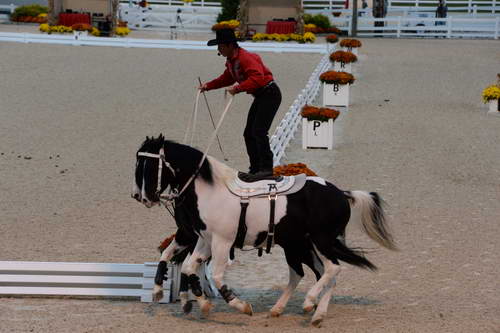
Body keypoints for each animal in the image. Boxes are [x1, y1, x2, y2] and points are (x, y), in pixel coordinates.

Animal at [133, 134, 398, 324]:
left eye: (148, 165)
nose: (140, 196)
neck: (211, 190)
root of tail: (341, 193)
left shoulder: (222, 242)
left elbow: (216, 276)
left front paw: (240, 306)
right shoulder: (204, 240)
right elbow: (189, 268)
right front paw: (201, 303)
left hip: (320, 241)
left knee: (332, 269)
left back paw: (310, 302)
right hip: (301, 245)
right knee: (312, 274)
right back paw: (306, 312)